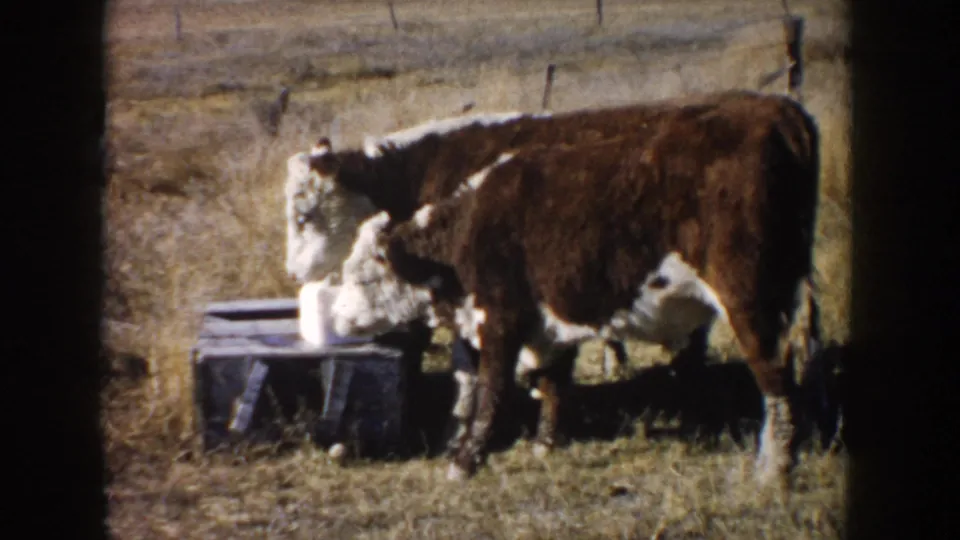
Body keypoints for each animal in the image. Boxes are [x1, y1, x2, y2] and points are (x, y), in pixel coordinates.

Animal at [329, 89, 822, 489]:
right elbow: (549, 384)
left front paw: (466, 461)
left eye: (364, 277)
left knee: (775, 377)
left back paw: (773, 472)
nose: (336, 317)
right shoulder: (545, 326)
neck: (468, 230)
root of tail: (781, 112)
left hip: (750, 299)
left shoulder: (500, 319)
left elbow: (491, 392)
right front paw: (544, 445)